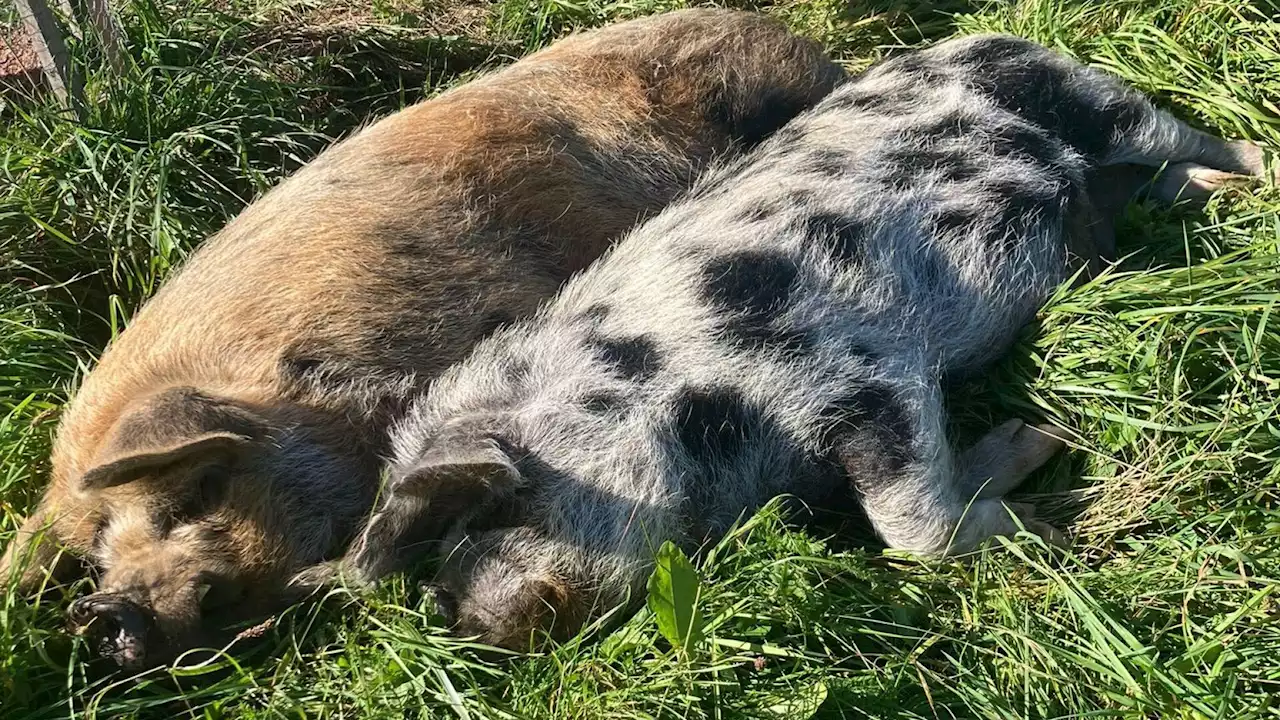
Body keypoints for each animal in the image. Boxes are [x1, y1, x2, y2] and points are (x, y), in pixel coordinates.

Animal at [345, 35, 1274, 650]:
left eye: (478, 519)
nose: (466, 623)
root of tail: (974, 38)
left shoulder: (865, 368)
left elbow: (913, 525)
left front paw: (1044, 489)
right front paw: (1032, 456)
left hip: (1088, 101)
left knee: (1190, 135)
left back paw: (1250, 179)